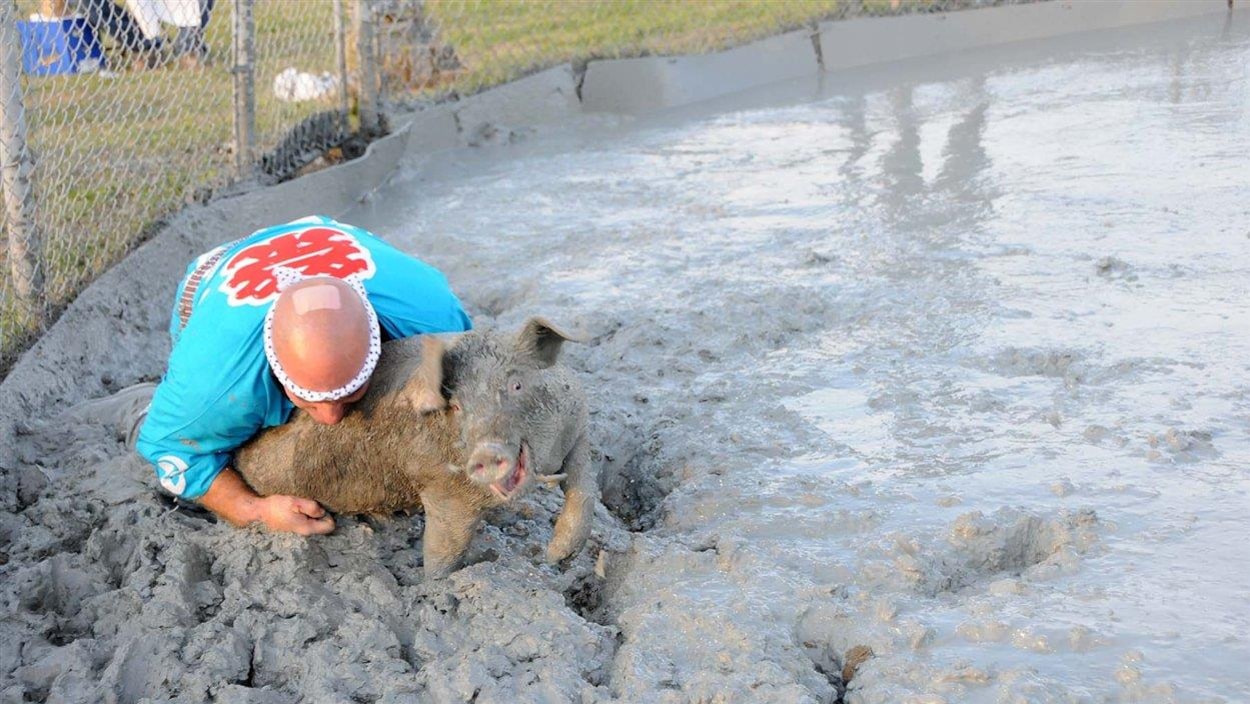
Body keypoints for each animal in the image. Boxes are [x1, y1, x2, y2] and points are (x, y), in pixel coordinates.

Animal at [233, 320, 595, 577]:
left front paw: (557, 557)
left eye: (516, 385)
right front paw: (443, 585)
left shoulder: (578, 421)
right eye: (457, 406)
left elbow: (583, 486)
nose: (485, 455)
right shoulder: (441, 488)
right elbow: (442, 552)